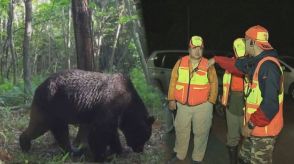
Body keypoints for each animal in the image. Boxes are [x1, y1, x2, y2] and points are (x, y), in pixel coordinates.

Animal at [19, 69, 155, 161]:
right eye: (144, 136)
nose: (139, 150)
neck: (128, 106)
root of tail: (39, 86)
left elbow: (111, 132)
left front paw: (117, 150)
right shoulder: (111, 104)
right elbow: (100, 130)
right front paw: (102, 155)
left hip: (59, 111)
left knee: (61, 132)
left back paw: (72, 151)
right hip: (49, 105)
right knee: (39, 126)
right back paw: (24, 144)